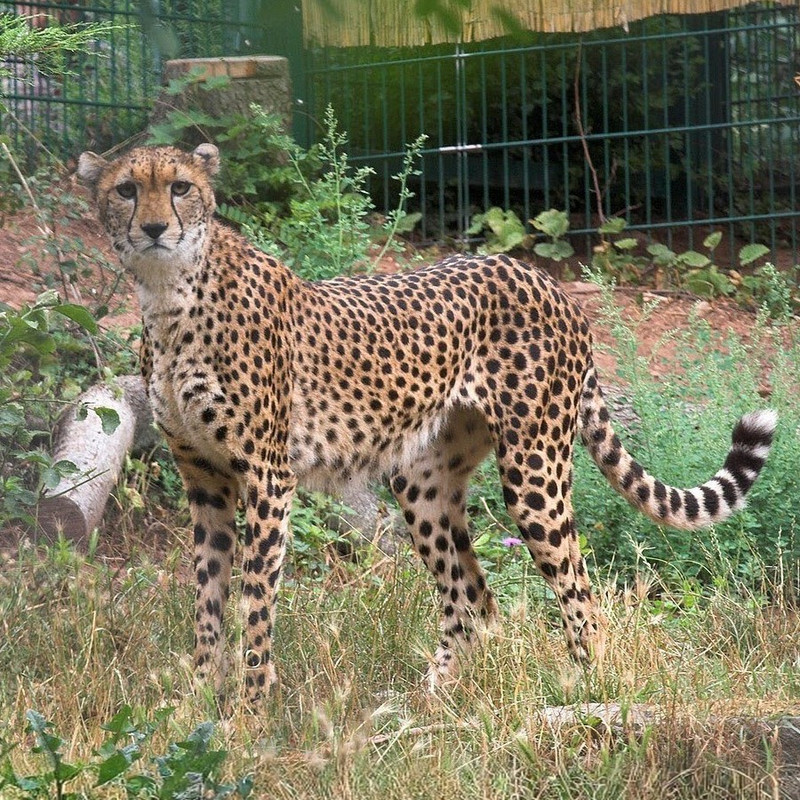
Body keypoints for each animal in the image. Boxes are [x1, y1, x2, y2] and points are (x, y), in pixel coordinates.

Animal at [77, 143, 776, 703]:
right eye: (126, 190)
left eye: (179, 186)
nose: (155, 228)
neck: (170, 296)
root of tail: (541, 277)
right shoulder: (205, 480)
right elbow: (208, 599)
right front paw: (195, 701)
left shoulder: (267, 478)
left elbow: (254, 603)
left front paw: (249, 711)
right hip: (422, 481)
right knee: (475, 602)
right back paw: (424, 707)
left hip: (534, 473)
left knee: (579, 594)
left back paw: (584, 690)